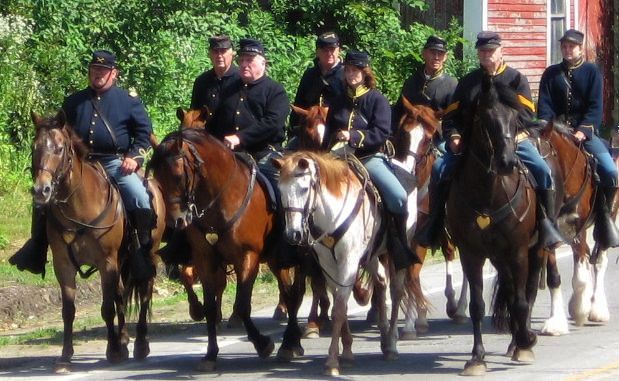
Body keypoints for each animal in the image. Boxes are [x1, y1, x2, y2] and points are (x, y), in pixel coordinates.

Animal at [30, 110, 166, 372]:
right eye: (34, 148)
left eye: (59, 148)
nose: (42, 190)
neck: (79, 208)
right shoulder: (63, 265)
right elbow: (69, 310)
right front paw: (65, 356)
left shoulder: (107, 263)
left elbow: (106, 308)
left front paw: (112, 351)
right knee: (121, 294)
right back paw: (123, 340)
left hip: (148, 256)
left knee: (144, 293)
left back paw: (140, 344)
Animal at [150, 118, 306, 368]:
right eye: (157, 176)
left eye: (178, 175)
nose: (177, 221)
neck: (221, 199)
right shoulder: (205, 260)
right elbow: (210, 307)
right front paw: (210, 354)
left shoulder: (247, 257)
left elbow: (242, 306)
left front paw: (263, 344)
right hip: (274, 260)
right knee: (288, 293)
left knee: (292, 295)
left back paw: (290, 344)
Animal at [446, 75, 544, 374]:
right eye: (485, 119)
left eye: (516, 119)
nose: (507, 162)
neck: (488, 194)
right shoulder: (471, 253)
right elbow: (477, 306)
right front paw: (477, 357)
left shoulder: (518, 250)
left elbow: (522, 301)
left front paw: (527, 340)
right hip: (500, 258)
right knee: (511, 292)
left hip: (536, 251)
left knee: (526, 292)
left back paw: (521, 341)